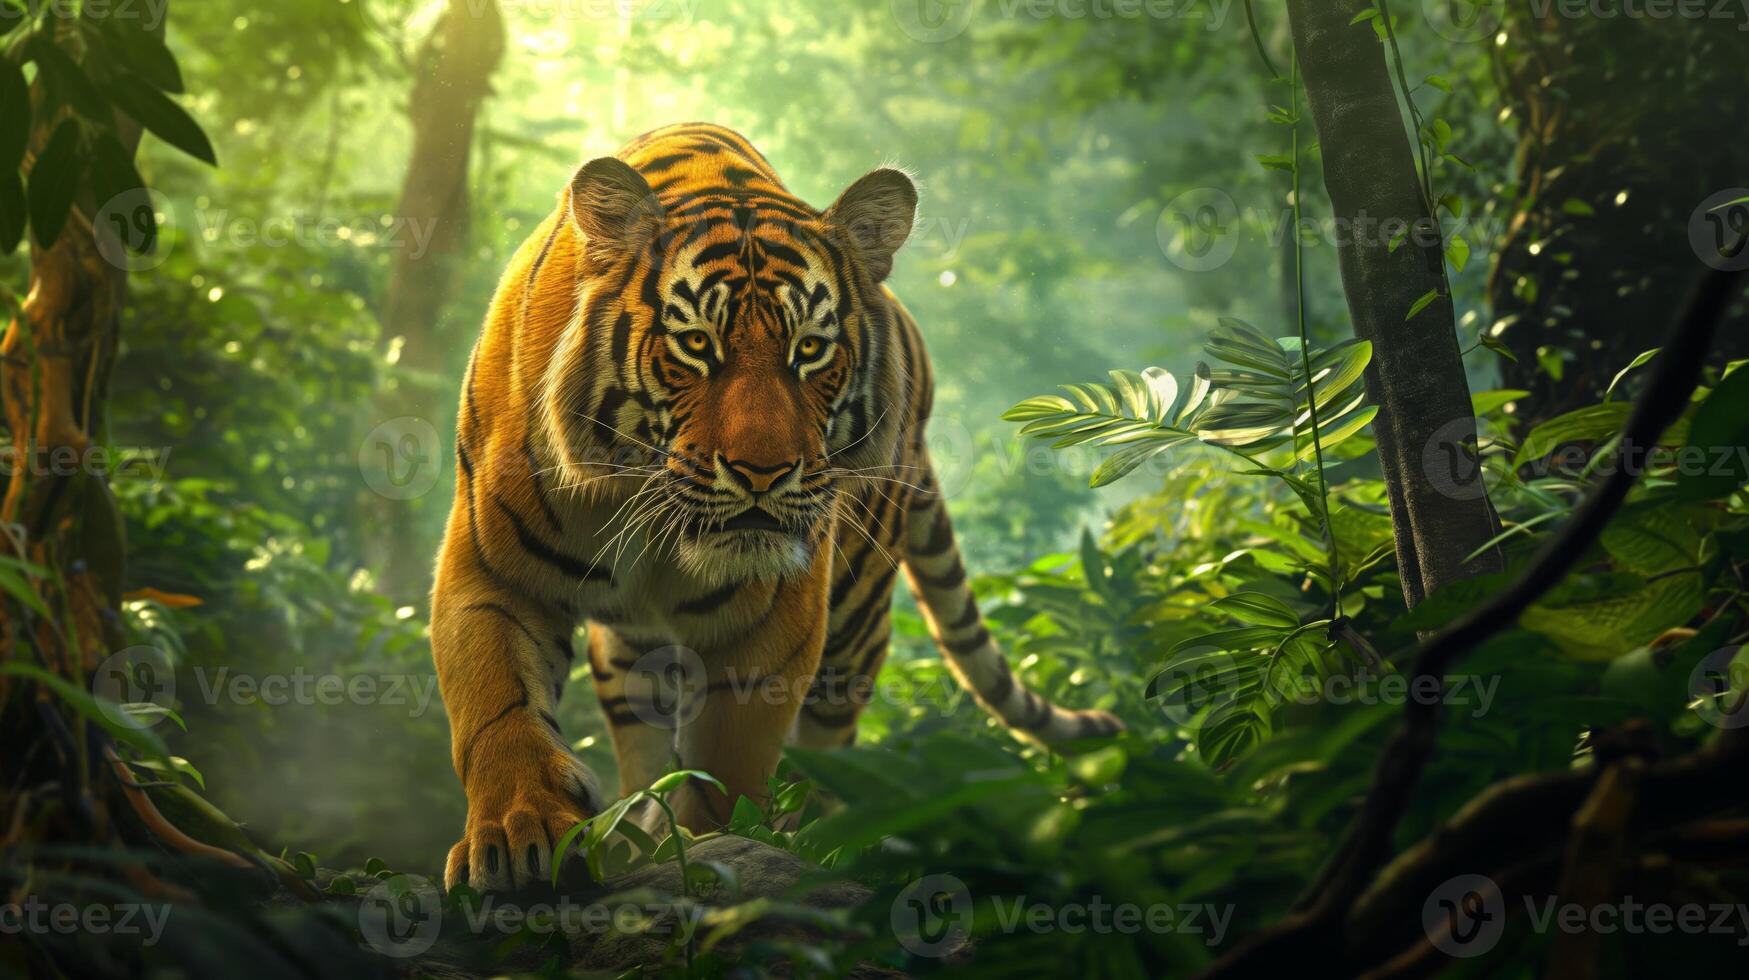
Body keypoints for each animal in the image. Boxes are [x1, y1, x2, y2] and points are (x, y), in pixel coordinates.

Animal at [430, 122, 1122, 892]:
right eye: (696, 344)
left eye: (810, 349)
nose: (761, 473)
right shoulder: (491, 571)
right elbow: (496, 706)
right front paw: (518, 837)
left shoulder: (772, 624)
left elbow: (728, 767)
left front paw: (713, 861)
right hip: (633, 658)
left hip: (854, 628)